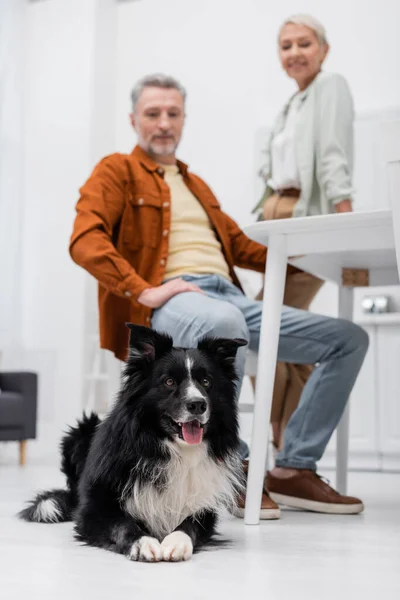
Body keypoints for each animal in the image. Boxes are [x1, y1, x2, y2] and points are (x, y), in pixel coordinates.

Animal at [19, 324, 247, 564]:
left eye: (206, 382)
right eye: (169, 382)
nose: (198, 404)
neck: (170, 448)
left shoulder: (203, 506)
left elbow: (189, 525)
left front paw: (176, 543)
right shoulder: (94, 509)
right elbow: (122, 524)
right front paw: (143, 543)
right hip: (81, 431)